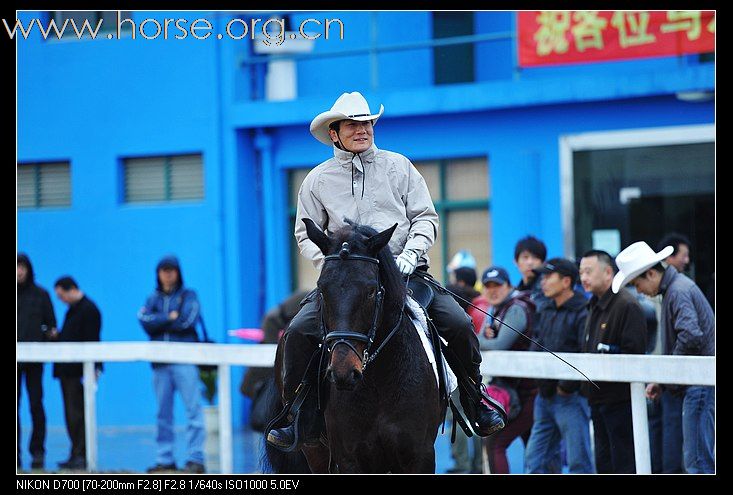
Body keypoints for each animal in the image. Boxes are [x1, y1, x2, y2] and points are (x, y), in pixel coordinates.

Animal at [268, 220, 444, 472]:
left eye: (371, 291)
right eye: (322, 289)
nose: (343, 372)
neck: (380, 383)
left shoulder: (419, 456)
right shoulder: (350, 459)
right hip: (315, 450)